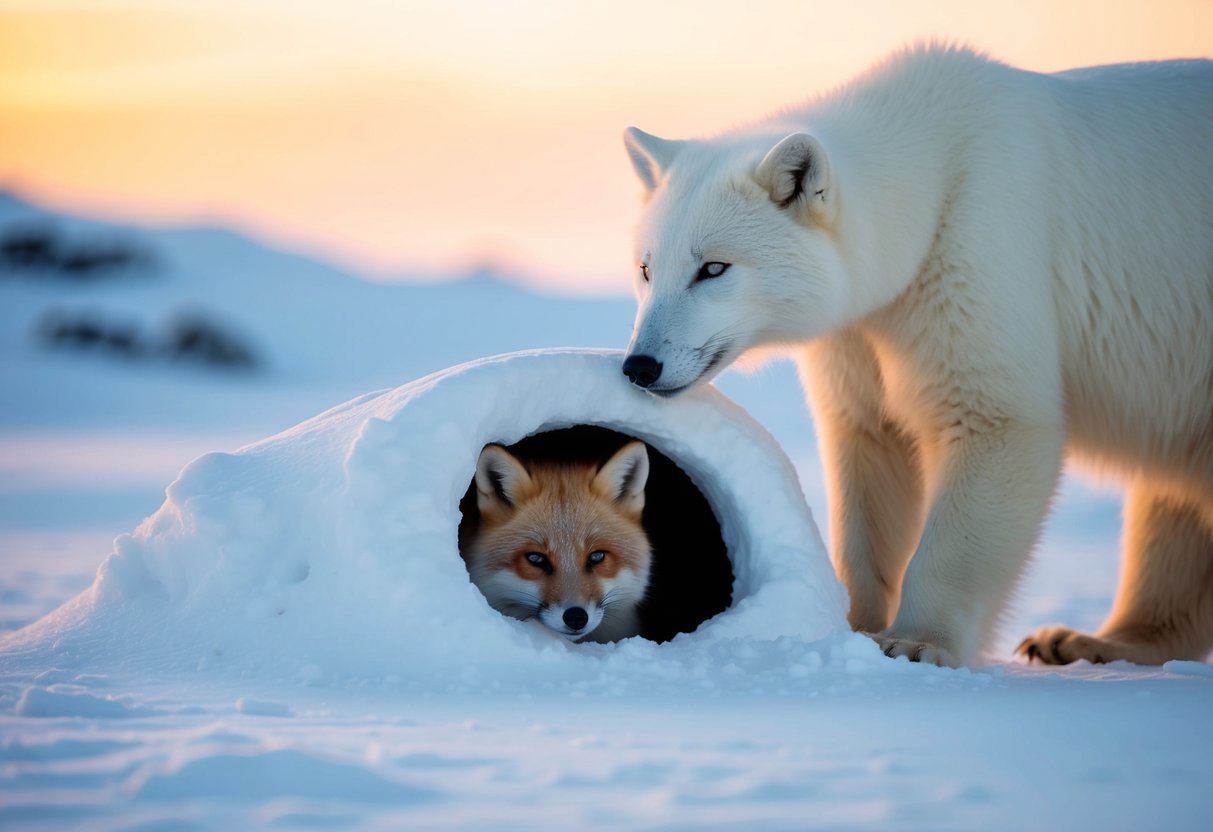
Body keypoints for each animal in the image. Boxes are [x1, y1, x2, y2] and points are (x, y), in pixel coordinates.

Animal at [620, 44, 1213, 667]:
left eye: (713, 267)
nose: (641, 366)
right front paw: (853, 624)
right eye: (646, 267)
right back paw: (1085, 639)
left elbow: (993, 420)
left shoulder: (979, 247)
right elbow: (871, 450)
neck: (932, 175)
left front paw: (916, 642)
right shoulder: (865, 331)